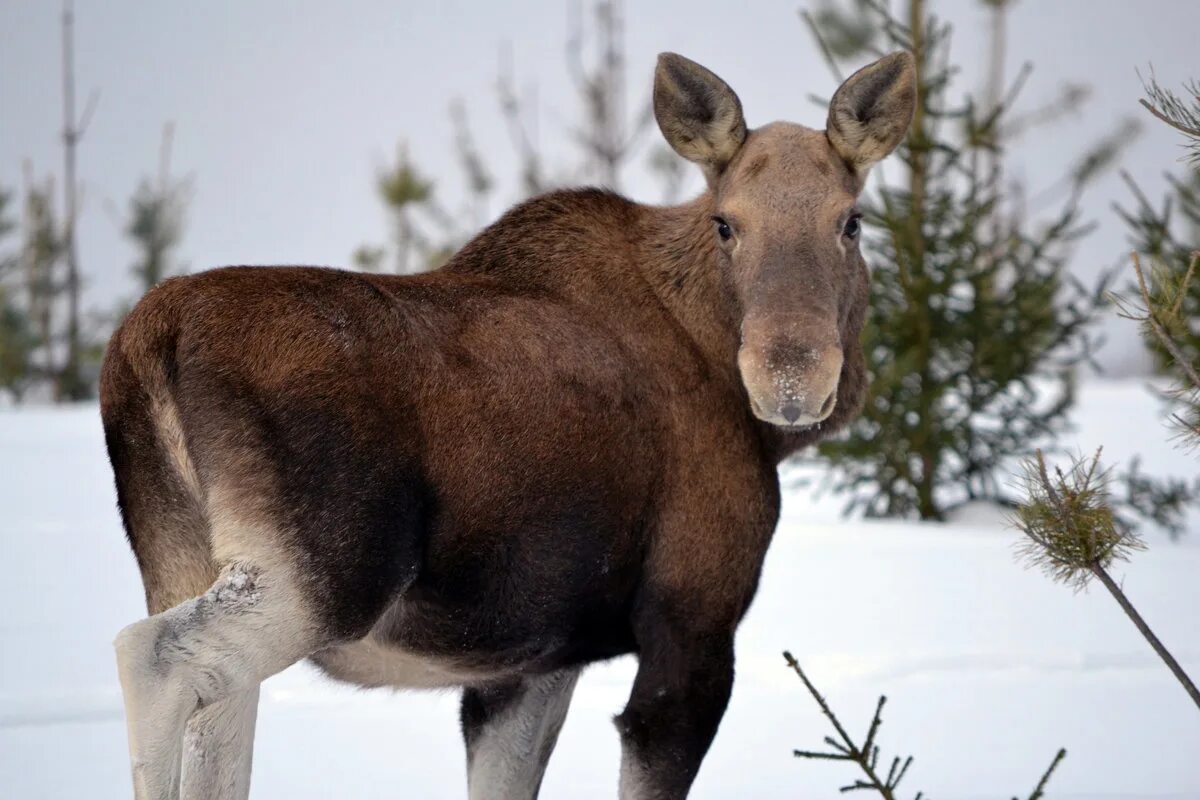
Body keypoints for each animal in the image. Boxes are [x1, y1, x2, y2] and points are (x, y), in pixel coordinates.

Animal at [103, 50, 912, 800]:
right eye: (726, 223)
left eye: (851, 220)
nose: (791, 379)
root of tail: (151, 339)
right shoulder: (694, 619)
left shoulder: (534, 664)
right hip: (324, 575)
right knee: (151, 657)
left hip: (181, 558)